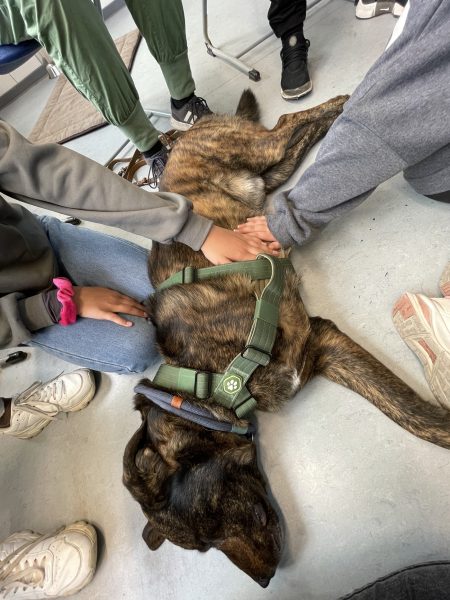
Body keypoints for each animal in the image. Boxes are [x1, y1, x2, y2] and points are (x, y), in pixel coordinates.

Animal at [122, 91, 450, 588]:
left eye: (209, 525)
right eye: (201, 547)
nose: (265, 581)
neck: (208, 379)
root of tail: (180, 140)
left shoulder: (317, 339)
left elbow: (412, 416)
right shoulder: (321, 352)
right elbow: (406, 411)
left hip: (259, 152)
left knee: (288, 122)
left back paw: (346, 102)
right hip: (269, 174)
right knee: (294, 134)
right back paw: (339, 118)